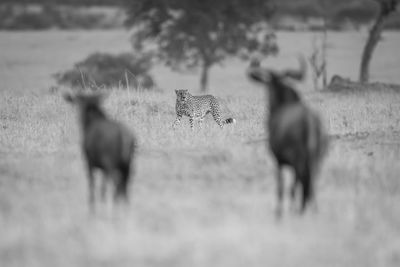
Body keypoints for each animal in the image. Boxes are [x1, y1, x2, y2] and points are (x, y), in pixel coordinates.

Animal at [247, 57, 328, 217]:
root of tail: (308, 121)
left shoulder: (278, 161)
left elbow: (281, 187)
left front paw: (279, 213)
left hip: (298, 161)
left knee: (297, 184)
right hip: (314, 160)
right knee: (311, 183)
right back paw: (311, 209)